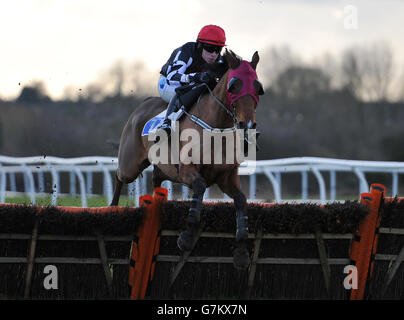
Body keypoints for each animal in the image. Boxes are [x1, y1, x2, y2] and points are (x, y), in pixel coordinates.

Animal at [110, 49, 264, 270]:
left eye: (258, 88)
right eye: (234, 85)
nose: (247, 125)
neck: (216, 126)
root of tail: (143, 104)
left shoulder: (226, 176)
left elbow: (241, 201)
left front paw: (242, 252)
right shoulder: (186, 170)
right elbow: (199, 186)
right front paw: (187, 236)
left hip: (164, 169)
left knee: (156, 179)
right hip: (131, 165)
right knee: (119, 176)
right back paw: (113, 208)